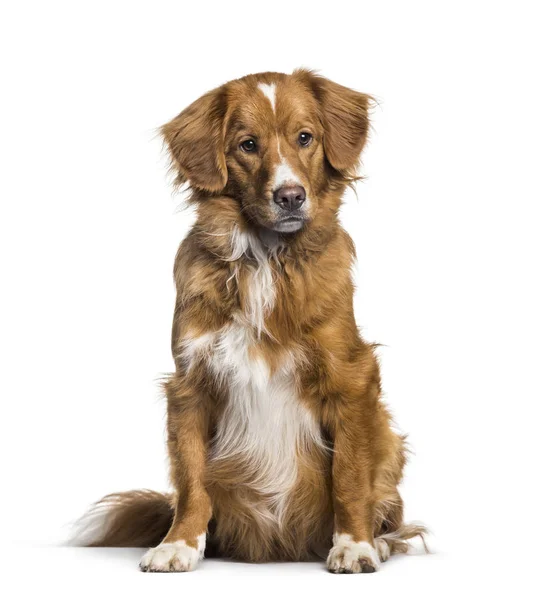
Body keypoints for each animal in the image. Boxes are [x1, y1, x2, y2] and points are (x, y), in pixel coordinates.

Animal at [75, 69, 424, 572]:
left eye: (305, 138)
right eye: (248, 145)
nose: (291, 196)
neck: (267, 261)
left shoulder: (351, 379)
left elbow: (349, 476)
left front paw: (354, 544)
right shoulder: (190, 385)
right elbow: (192, 483)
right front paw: (178, 545)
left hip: (389, 441)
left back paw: (377, 540)